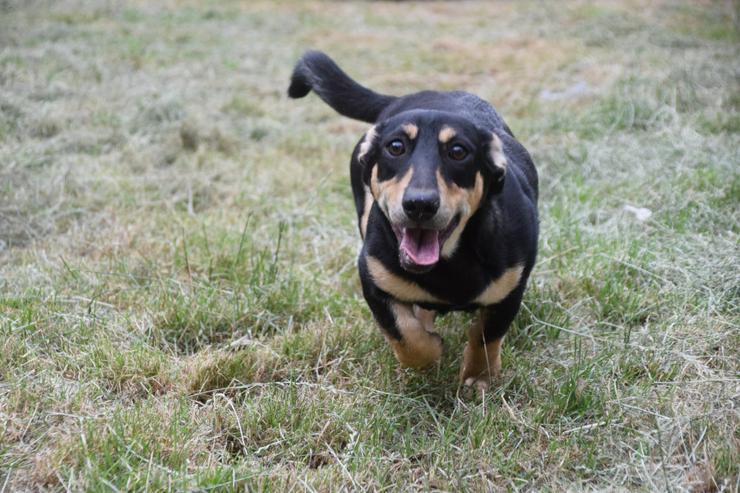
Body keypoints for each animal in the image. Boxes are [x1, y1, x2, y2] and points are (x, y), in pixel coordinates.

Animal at [288, 50, 536, 388]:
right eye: (396, 147)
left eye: (458, 151)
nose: (420, 204)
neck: (449, 264)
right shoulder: (373, 276)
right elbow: (404, 335)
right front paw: (430, 350)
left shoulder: (511, 287)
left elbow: (486, 336)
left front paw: (478, 378)